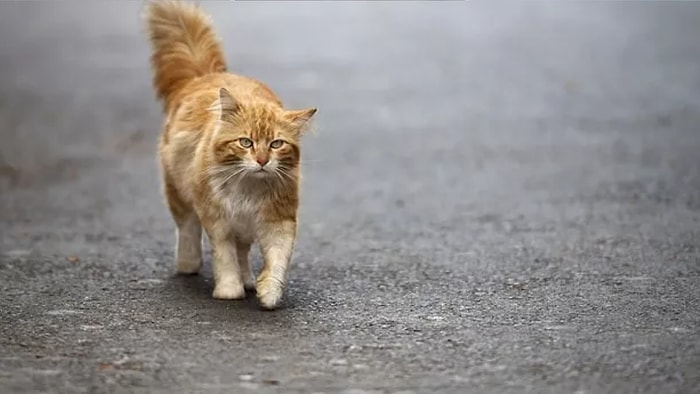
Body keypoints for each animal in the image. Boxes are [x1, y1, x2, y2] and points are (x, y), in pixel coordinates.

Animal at [143, 0, 318, 310]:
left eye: (276, 144)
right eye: (246, 142)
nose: (262, 161)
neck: (248, 189)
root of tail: (206, 75)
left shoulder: (279, 220)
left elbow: (276, 261)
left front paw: (268, 293)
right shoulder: (218, 220)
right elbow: (224, 259)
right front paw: (229, 290)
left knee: (243, 251)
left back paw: (249, 279)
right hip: (179, 193)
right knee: (187, 229)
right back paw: (189, 264)